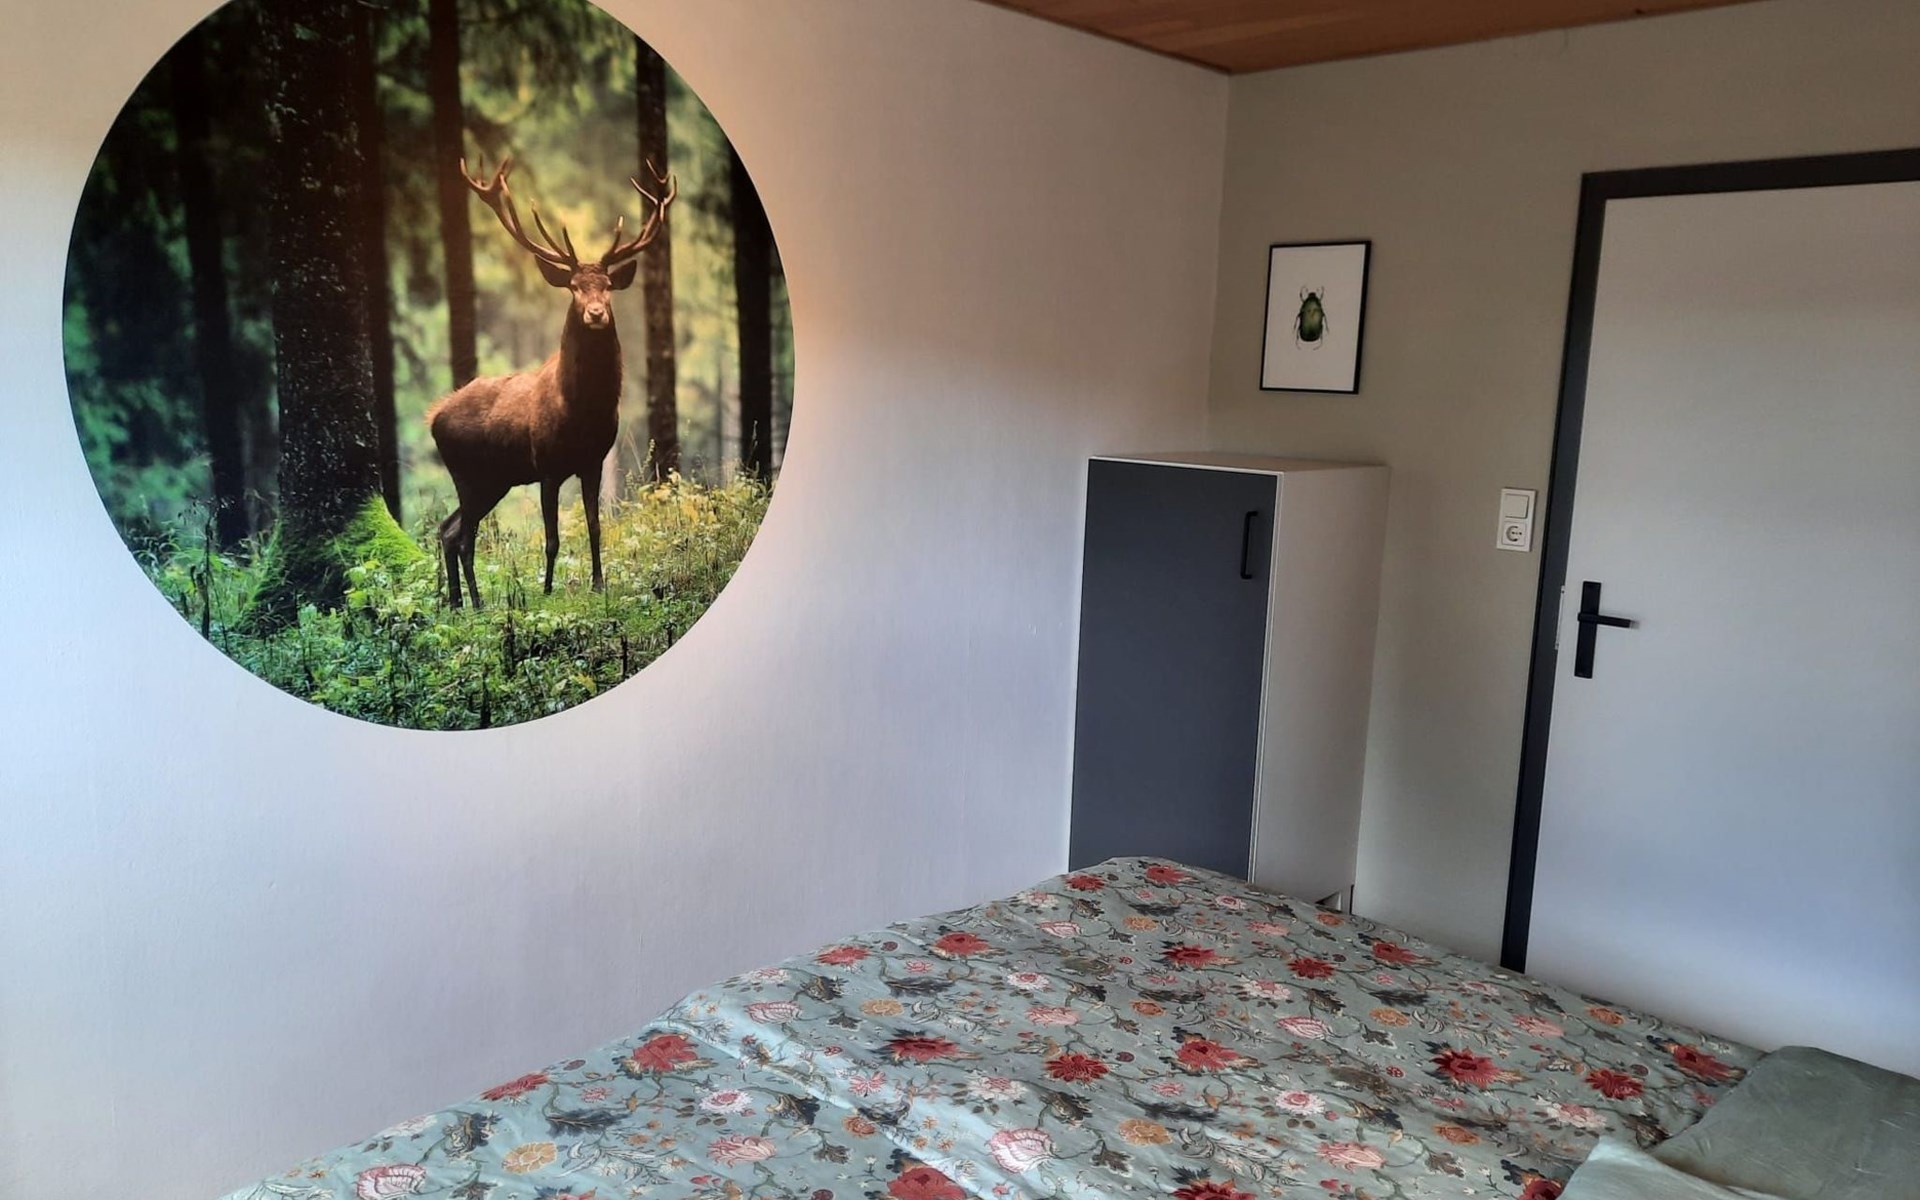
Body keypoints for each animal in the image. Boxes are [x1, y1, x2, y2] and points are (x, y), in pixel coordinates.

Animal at [427, 156, 676, 609]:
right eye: (574, 287)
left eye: (608, 286)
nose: (596, 313)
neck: (582, 411)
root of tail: (433, 416)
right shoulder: (546, 466)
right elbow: (552, 538)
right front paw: (545, 591)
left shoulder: (593, 461)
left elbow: (595, 527)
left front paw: (598, 584)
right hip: (467, 473)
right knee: (462, 535)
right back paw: (474, 604)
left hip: (494, 480)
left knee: (449, 529)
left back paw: (458, 603)